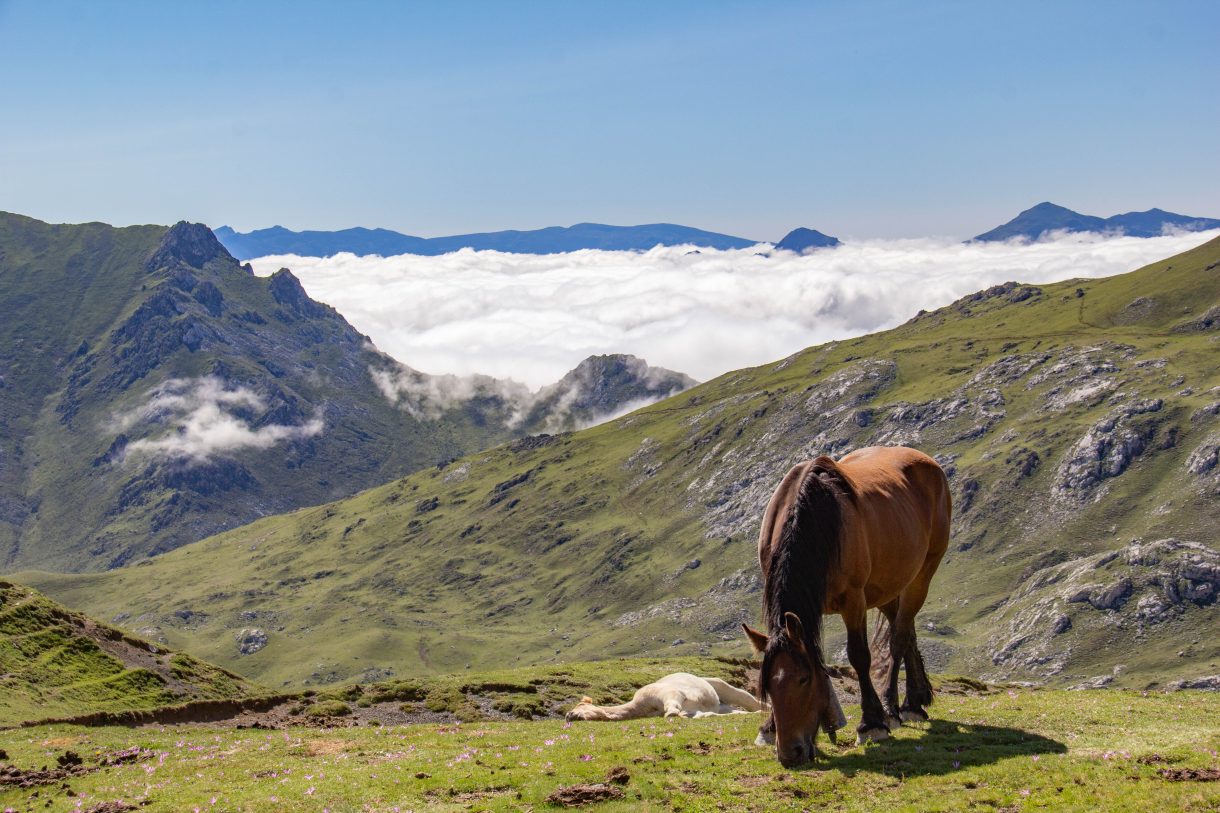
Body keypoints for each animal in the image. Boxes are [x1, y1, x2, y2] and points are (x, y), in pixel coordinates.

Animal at [736, 446, 946, 761]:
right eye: (767, 686)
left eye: (804, 680)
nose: (790, 754)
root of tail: (927, 461)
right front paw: (769, 728)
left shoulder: (853, 600)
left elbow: (859, 656)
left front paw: (872, 724)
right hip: (887, 588)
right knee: (906, 631)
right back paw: (914, 701)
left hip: (921, 576)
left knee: (898, 638)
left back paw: (896, 708)